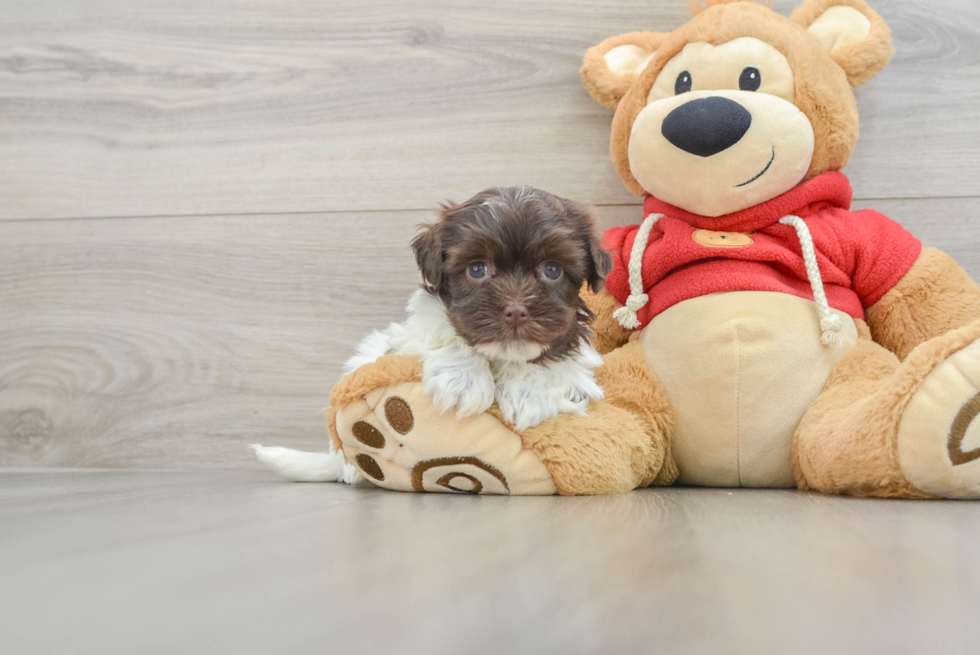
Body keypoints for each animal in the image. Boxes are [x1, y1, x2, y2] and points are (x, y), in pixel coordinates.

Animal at [348, 186, 612, 430]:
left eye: (552, 270)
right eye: (477, 269)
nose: (516, 312)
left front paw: (529, 394)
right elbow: (447, 330)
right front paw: (462, 380)